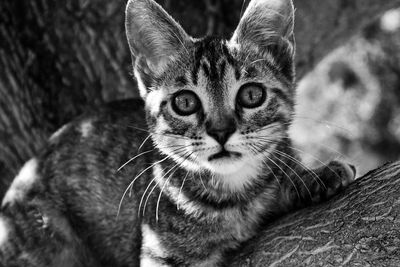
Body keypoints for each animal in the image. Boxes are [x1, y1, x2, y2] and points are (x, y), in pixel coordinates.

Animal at [0, 0, 356, 266]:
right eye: (185, 102)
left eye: (252, 95)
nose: (221, 131)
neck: (234, 195)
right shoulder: (161, 252)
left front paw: (314, 176)